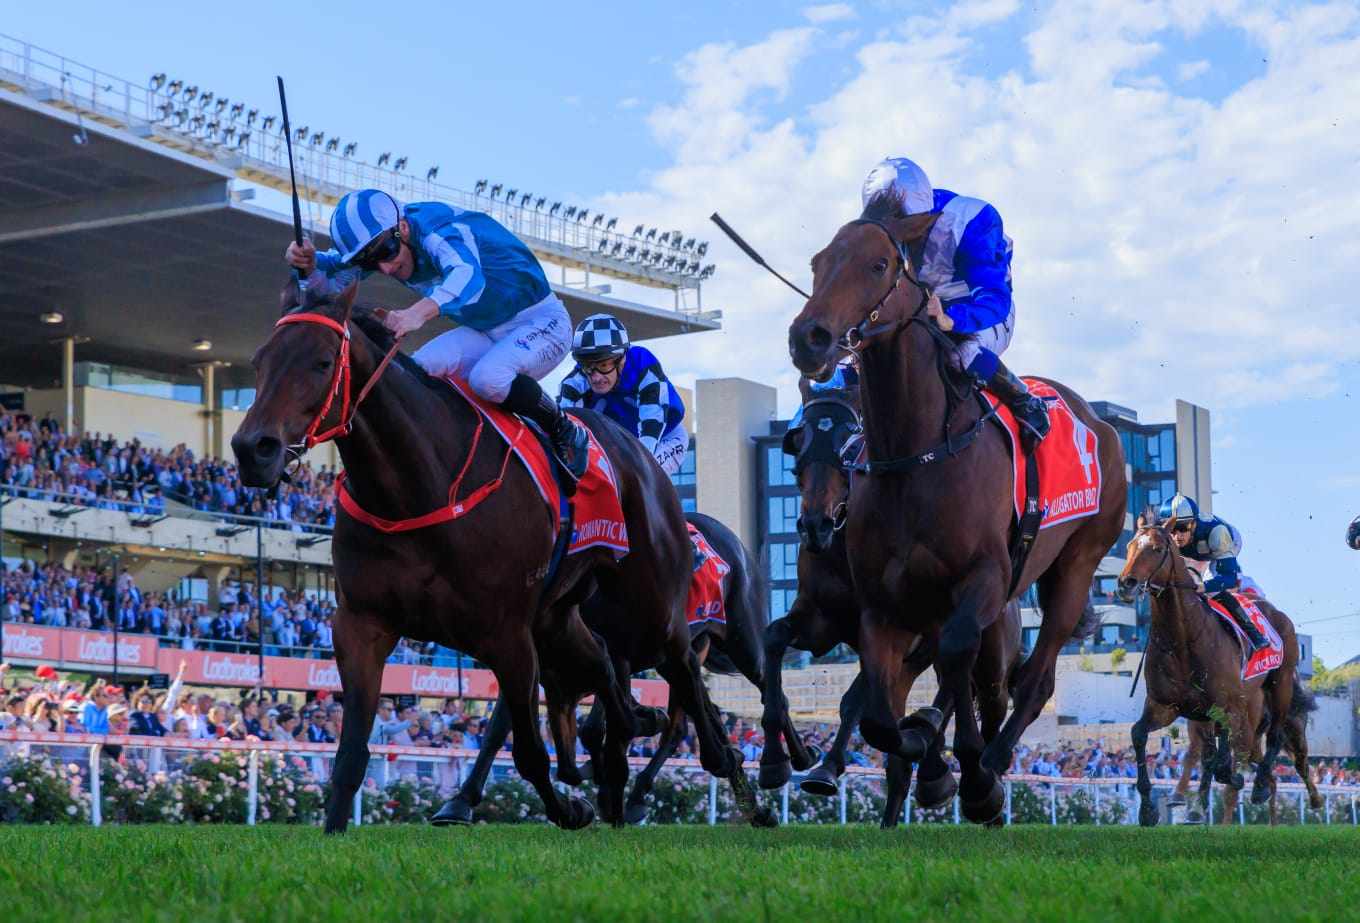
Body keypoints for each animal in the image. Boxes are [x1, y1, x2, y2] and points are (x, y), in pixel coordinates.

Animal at [228, 281, 750, 831]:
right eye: (259, 361)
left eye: (323, 362)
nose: (253, 448)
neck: (417, 489)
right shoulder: (360, 624)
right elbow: (350, 753)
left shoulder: (508, 632)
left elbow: (527, 750)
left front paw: (569, 805)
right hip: (562, 618)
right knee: (607, 670)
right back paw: (633, 743)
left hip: (655, 609)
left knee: (683, 672)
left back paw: (724, 763)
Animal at [761, 377, 1022, 826]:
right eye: (798, 443)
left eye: (850, 444)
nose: (814, 525)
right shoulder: (822, 621)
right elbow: (775, 638)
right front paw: (784, 757)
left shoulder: (904, 629)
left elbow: (855, 700)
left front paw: (825, 766)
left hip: (988, 644)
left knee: (966, 689)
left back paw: (943, 768)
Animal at [788, 197, 1126, 821]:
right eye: (818, 262)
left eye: (877, 264)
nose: (810, 338)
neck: (916, 457)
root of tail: (1101, 422)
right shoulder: (882, 607)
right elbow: (877, 715)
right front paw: (925, 753)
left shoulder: (983, 579)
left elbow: (954, 660)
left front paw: (965, 772)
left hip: (1076, 564)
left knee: (1033, 678)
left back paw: (990, 763)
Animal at [1115, 527, 1316, 831]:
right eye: (1129, 546)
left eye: (1157, 548)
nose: (1126, 583)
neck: (1183, 640)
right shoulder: (1166, 706)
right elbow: (1139, 734)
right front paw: (1148, 809)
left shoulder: (1226, 708)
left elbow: (1221, 764)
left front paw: (1234, 781)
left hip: (1279, 686)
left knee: (1278, 739)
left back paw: (1270, 790)